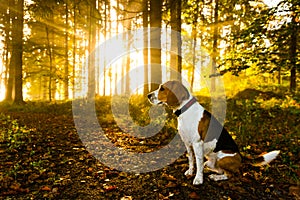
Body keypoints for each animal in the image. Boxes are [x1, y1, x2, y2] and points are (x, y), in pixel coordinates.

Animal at [148, 80, 278, 185]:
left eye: (162, 88)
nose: (148, 95)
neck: (185, 110)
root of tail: (241, 156)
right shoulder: (187, 143)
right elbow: (191, 160)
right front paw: (190, 171)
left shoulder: (197, 143)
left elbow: (198, 162)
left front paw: (198, 179)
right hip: (211, 162)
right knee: (215, 168)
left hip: (223, 158)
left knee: (230, 174)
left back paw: (216, 177)